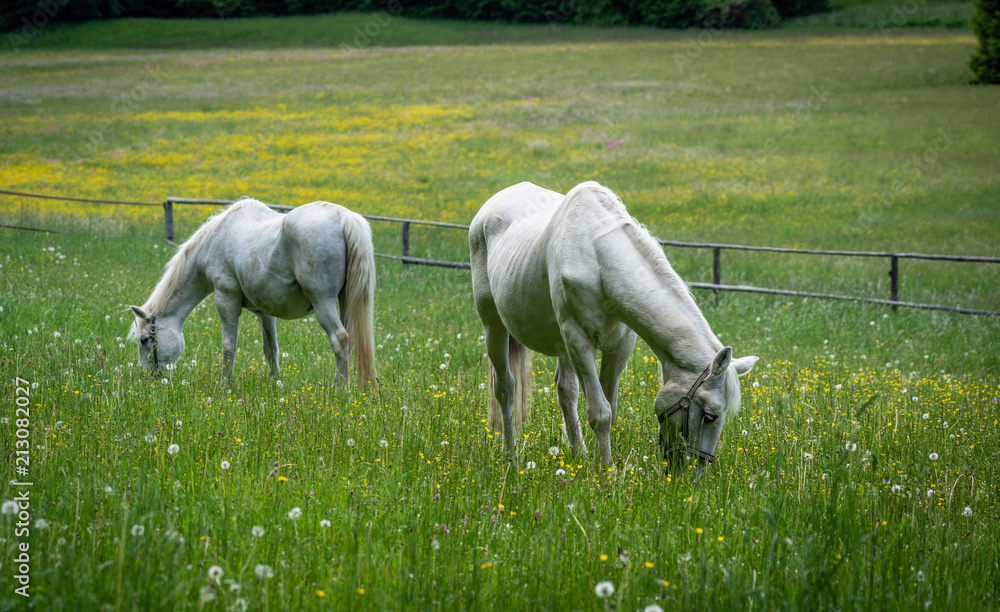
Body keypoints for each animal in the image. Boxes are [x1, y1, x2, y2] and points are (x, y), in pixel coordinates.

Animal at [128, 198, 378, 391]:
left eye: (144, 340)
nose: (148, 378)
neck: (217, 238)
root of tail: (344, 216)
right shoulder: (265, 313)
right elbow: (271, 349)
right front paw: (275, 383)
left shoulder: (226, 299)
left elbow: (229, 346)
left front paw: (225, 386)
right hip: (345, 303)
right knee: (351, 341)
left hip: (322, 303)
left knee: (340, 339)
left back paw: (340, 389)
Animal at [469, 181, 757, 467]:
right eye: (710, 415)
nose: (693, 471)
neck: (597, 258)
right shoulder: (578, 341)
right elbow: (600, 412)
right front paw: (606, 469)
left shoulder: (620, 344)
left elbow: (610, 406)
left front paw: (599, 462)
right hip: (494, 326)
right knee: (505, 388)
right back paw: (510, 453)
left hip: (561, 345)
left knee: (566, 391)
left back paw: (578, 451)